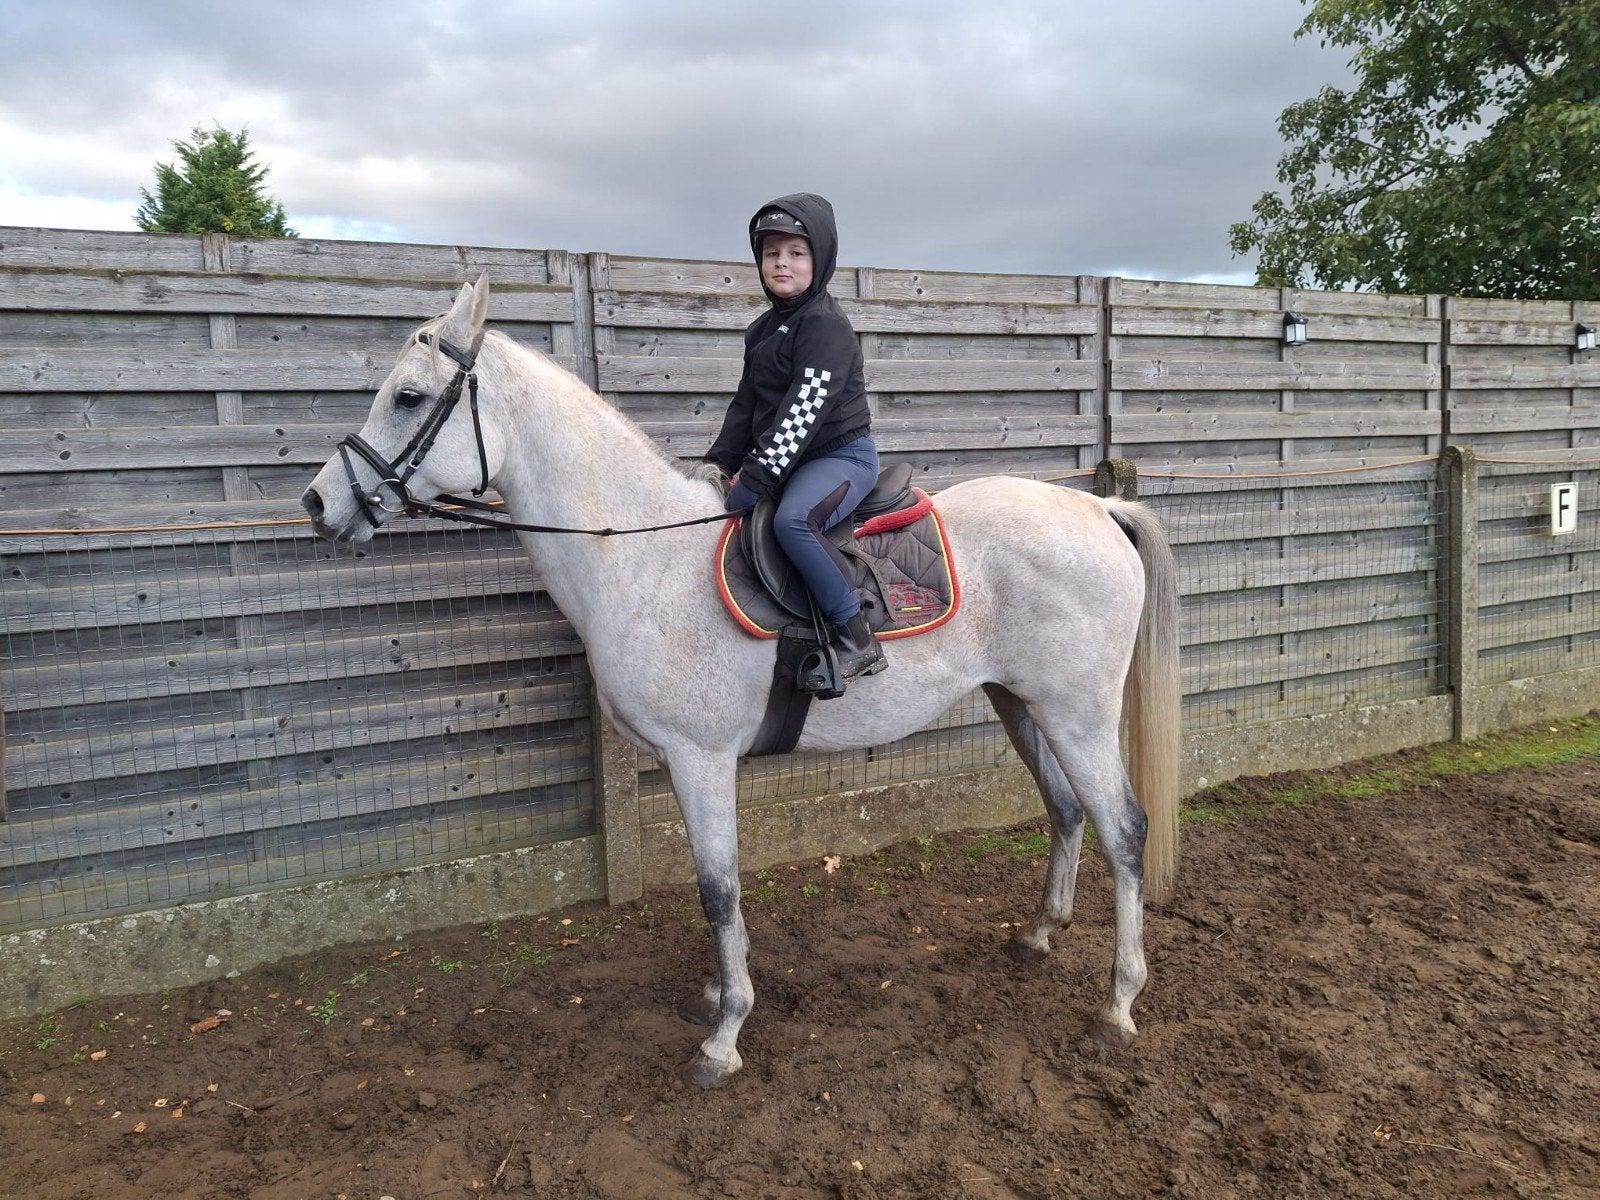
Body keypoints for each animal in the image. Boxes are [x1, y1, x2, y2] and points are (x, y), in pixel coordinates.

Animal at [301, 275, 1181, 1088]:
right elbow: (714, 890)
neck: (645, 556)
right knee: (1067, 810)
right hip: (1020, 703)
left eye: (409, 397)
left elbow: (717, 891)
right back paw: (1040, 935)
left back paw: (1119, 1003)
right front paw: (717, 997)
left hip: (1079, 715)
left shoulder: (701, 759)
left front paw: (725, 1036)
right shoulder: (682, 763)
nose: (317, 503)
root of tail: (1098, 511)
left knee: (1125, 830)